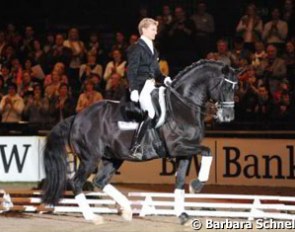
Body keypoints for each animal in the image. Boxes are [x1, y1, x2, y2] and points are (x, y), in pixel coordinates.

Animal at [42, 59, 238, 225]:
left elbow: (180, 181)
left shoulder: (184, 153)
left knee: (99, 181)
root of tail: (77, 117)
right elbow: (207, 151)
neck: (183, 105)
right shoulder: (177, 147)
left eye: (236, 89)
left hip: (113, 158)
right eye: (226, 86)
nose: (228, 117)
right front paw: (197, 186)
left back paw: (126, 210)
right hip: (90, 158)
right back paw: (93, 217)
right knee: (76, 182)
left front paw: (183, 214)